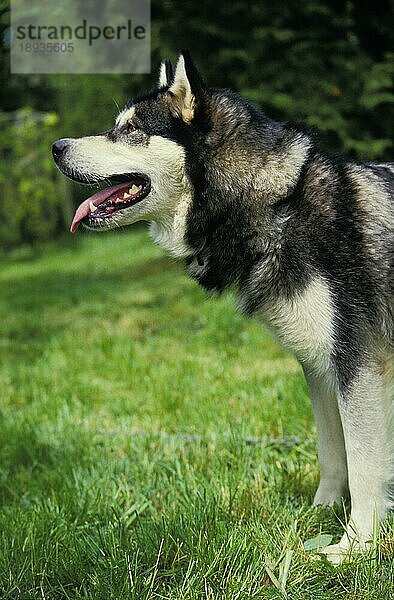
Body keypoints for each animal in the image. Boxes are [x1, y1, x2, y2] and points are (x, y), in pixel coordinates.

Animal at [51, 51, 390, 564]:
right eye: (117, 126)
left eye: (130, 130)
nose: (56, 147)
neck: (279, 206)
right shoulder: (318, 365)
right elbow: (334, 452)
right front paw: (320, 513)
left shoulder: (358, 364)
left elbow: (366, 462)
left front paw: (356, 545)